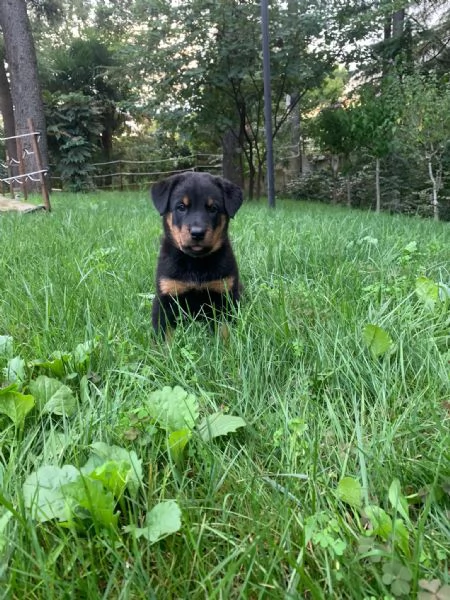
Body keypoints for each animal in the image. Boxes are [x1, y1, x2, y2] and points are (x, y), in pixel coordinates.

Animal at [151, 171, 243, 336]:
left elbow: (225, 331)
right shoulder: (165, 297)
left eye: (213, 208)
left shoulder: (226, 297)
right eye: (181, 207)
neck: (195, 262)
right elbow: (163, 335)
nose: (197, 233)